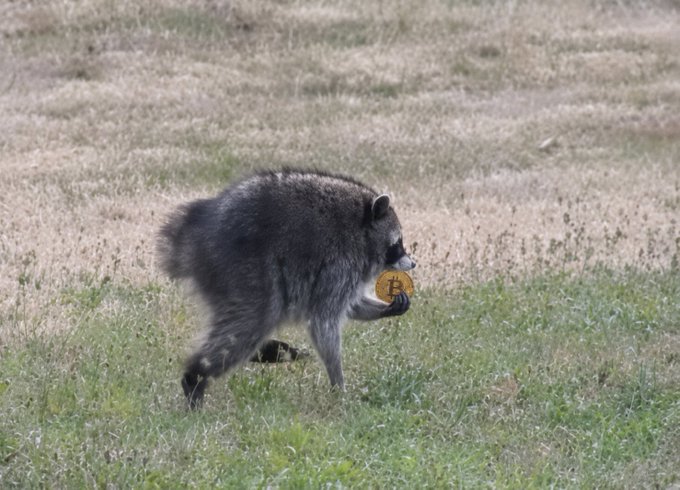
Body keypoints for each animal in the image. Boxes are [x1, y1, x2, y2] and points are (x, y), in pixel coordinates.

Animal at [158, 169, 416, 407]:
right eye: (398, 243)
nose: (412, 263)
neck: (362, 228)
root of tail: (193, 233)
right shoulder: (340, 264)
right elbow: (323, 321)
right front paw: (338, 385)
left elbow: (351, 306)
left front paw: (388, 307)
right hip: (242, 269)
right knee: (251, 322)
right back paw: (196, 376)